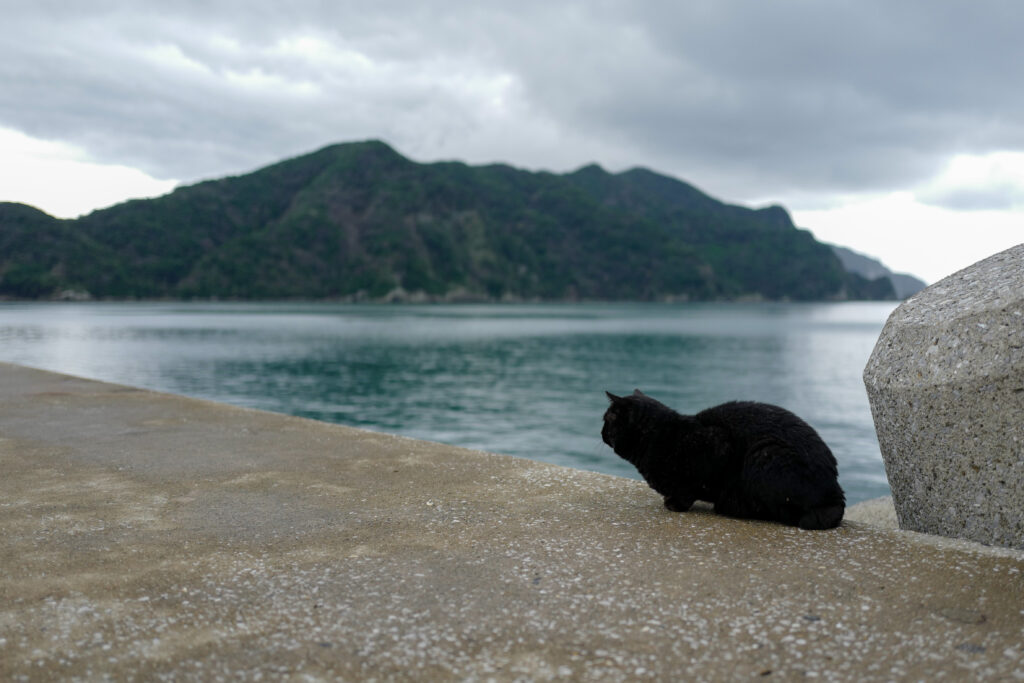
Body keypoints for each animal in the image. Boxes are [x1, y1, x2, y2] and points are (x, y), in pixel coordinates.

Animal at [598, 389, 847, 528]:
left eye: (606, 420)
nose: (600, 433)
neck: (664, 435)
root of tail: (835, 492)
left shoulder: (718, 445)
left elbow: (688, 490)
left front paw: (675, 504)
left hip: (765, 454)